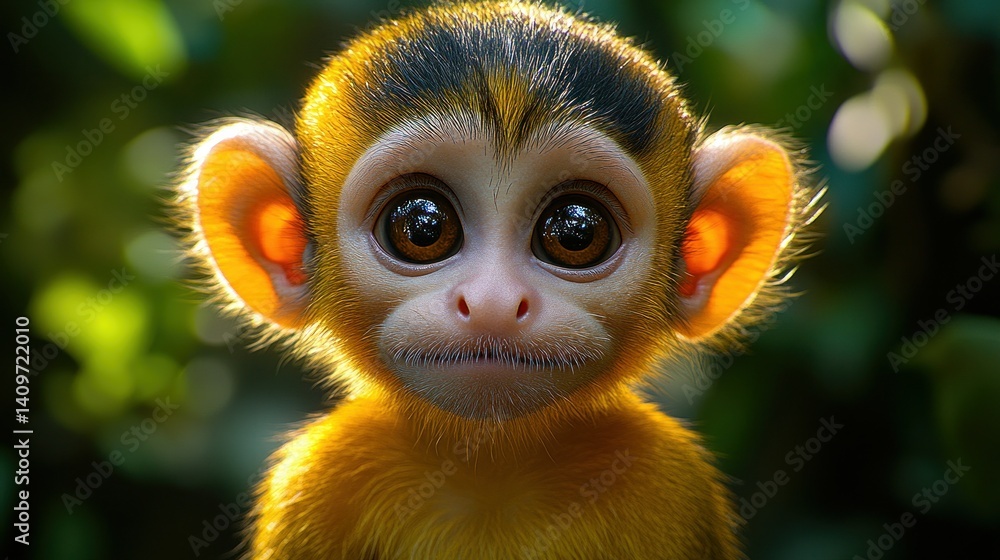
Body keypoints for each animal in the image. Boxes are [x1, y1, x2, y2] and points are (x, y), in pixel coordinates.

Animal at [173, 1, 821, 558]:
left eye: (576, 232)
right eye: (422, 226)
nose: (493, 303)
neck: (492, 470)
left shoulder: (670, 484)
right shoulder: (316, 480)